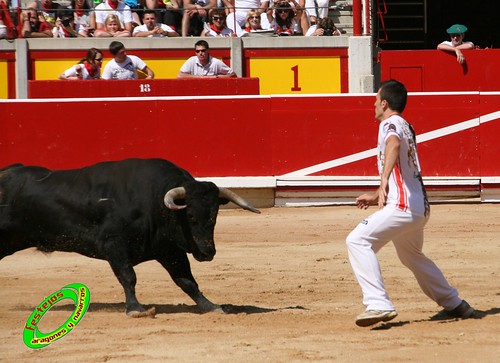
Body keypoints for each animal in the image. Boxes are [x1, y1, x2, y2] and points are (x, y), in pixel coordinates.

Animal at [0, 159, 260, 316]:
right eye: (191, 215)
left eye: (214, 215)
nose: (207, 252)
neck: (154, 202)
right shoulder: (114, 244)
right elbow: (128, 276)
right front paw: (136, 308)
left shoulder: (169, 250)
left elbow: (187, 281)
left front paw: (211, 306)